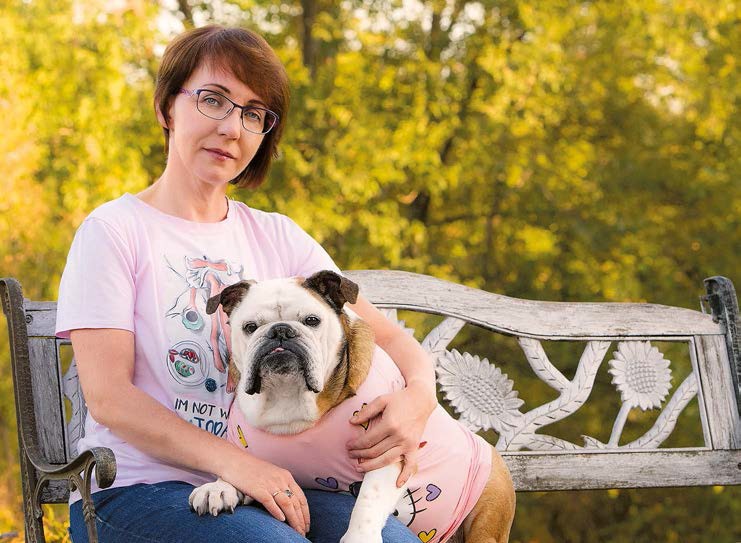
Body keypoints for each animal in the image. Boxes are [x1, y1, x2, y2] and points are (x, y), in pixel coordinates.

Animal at [189, 270, 515, 543]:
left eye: (312, 321)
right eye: (250, 327)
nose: (280, 331)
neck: (288, 397)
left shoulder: (388, 450)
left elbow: (367, 501)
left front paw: (359, 537)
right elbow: (244, 470)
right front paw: (220, 487)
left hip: (487, 519)